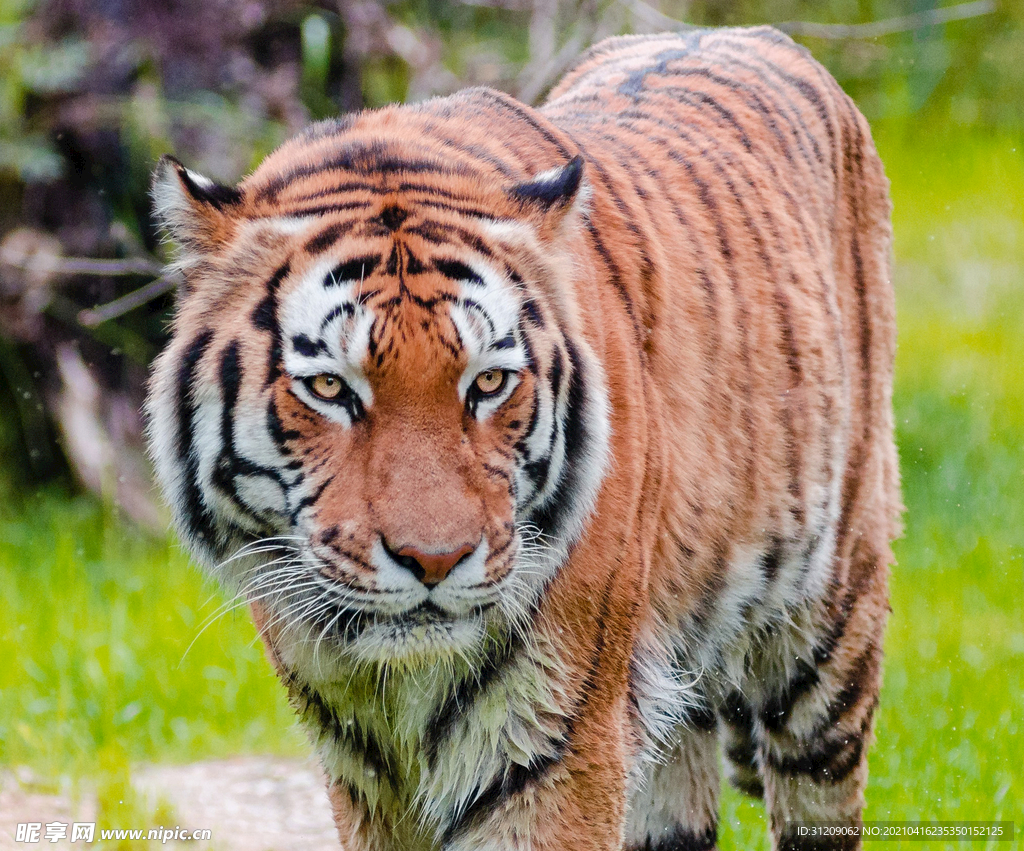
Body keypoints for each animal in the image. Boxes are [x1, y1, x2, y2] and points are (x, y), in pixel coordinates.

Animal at [146, 25, 900, 851]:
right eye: (330, 389)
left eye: (487, 383)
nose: (435, 560)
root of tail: (741, 31)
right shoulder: (365, 772)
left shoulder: (556, 747)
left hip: (829, 633)